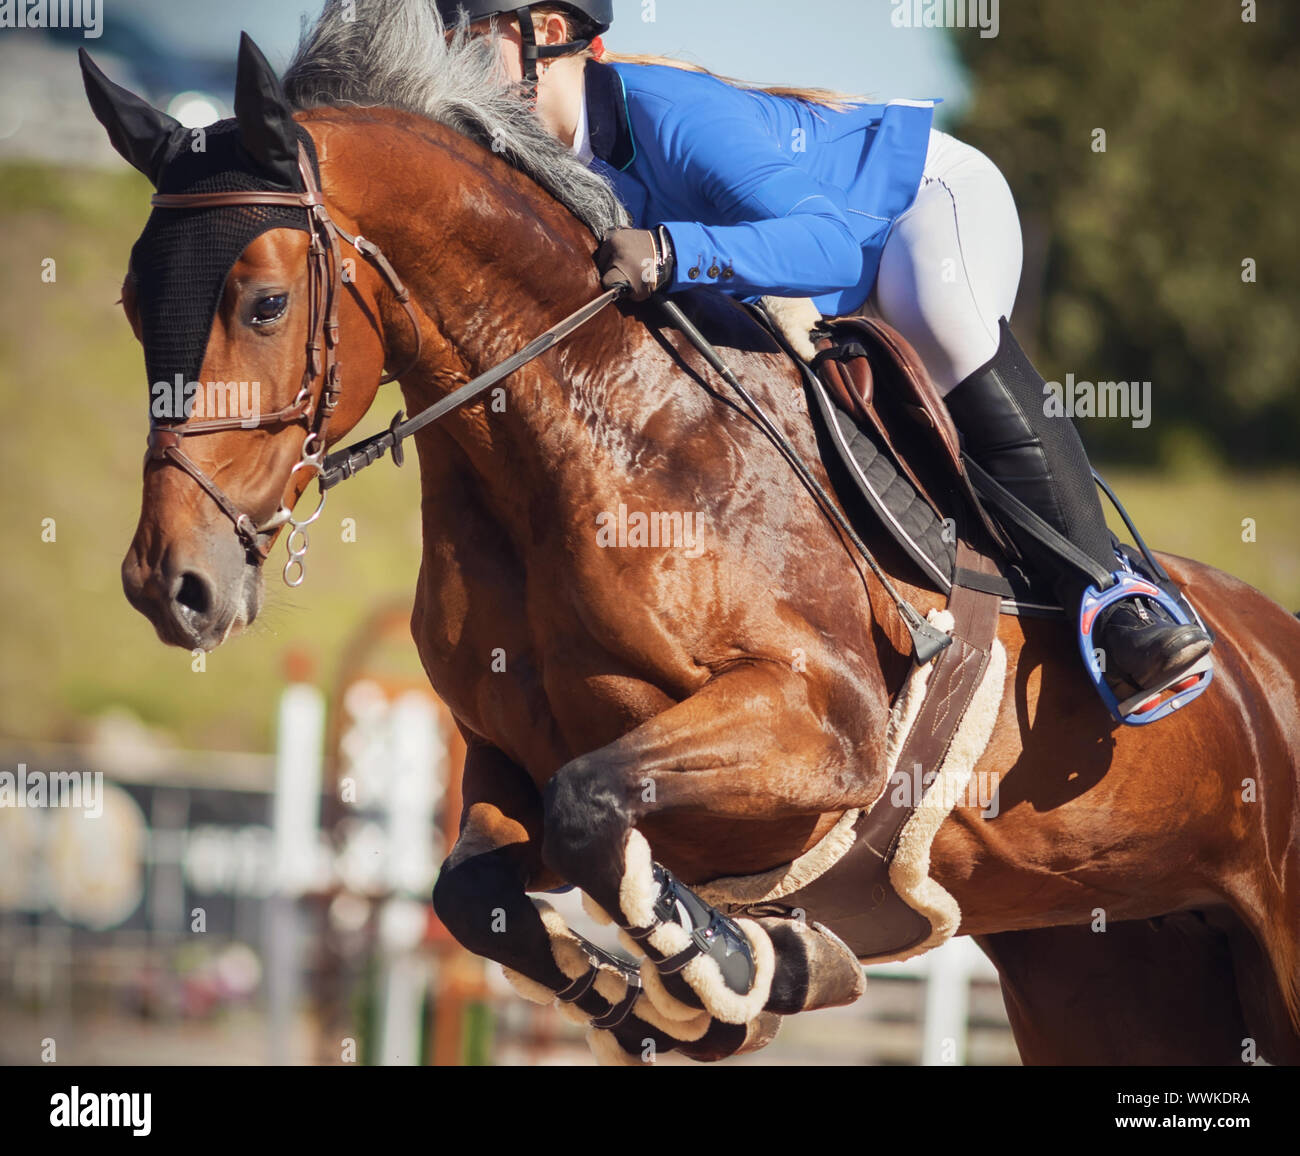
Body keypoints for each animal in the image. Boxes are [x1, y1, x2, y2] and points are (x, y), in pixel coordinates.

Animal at [86, 11, 1294, 1066]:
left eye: (265, 303)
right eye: (134, 305)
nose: (169, 582)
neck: (590, 435)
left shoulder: (827, 725)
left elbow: (592, 806)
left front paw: (739, 963)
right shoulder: (506, 753)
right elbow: (474, 888)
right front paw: (680, 990)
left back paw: (1148, 636)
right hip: (1104, 968)